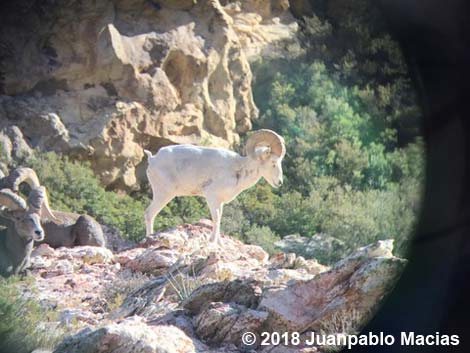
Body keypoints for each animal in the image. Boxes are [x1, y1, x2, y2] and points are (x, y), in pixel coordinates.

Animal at [142, 129, 286, 242]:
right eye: (273, 162)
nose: (279, 183)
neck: (238, 170)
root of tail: (152, 159)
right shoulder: (211, 197)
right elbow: (216, 218)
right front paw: (212, 241)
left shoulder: (220, 201)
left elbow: (219, 218)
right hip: (163, 194)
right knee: (149, 214)